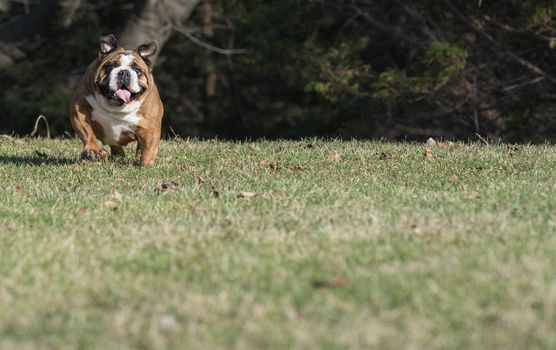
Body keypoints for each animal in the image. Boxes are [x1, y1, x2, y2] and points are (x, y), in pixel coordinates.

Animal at [69, 34, 163, 166]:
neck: (116, 107)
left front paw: (145, 165)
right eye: (111, 66)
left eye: (137, 70)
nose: (124, 73)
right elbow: (87, 132)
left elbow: (149, 149)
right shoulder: (79, 110)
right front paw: (93, 150)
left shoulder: (150, 128)